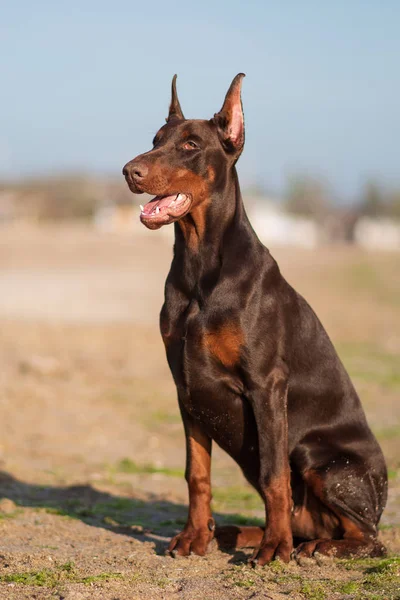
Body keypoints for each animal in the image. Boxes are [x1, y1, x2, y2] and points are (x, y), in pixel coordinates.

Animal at [122, 75, 388, 568]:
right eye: (154, 141)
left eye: (190, 145)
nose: (130, 171)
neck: (199, 266)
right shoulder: (186, 388)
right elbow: (197, 474)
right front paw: (194, 536)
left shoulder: (266, 384)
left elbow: (273, 477)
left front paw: (275, 548)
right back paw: (234, 532)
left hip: (321, 457)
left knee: (369, 538)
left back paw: (312, 544)